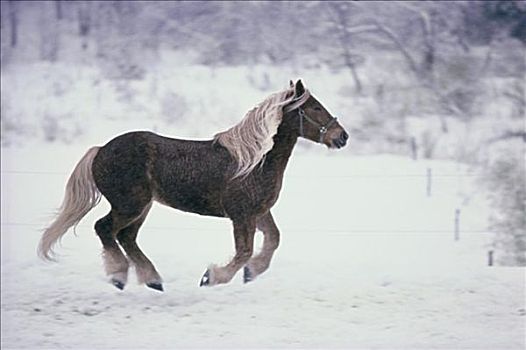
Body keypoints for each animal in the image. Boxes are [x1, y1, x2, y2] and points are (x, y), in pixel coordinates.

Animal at [38, 80, 350, 292]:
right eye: (315, 108)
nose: (342, 136)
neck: (253, 161)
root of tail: (100, 150)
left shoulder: (259, 212)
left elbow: (273, 239)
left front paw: (252, 273)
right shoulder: (242, 215)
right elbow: (244, 251)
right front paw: (211, 277)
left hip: (142, 207)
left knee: (126, 237)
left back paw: (152, 280)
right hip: (129, 205)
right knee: (104, 228)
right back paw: (118, 275)